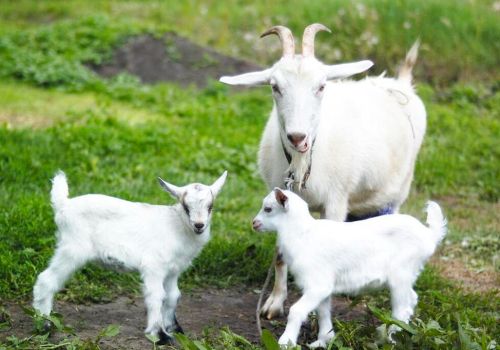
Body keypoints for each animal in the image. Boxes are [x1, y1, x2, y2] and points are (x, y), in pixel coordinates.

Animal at [220, 23, 426, 320]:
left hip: (398, 189)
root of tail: (401, 83)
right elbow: (281, 254)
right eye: (275, 87)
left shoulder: (336, 201)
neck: (302, 163)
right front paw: (274, 303)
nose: (297, 137)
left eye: (321, 86)